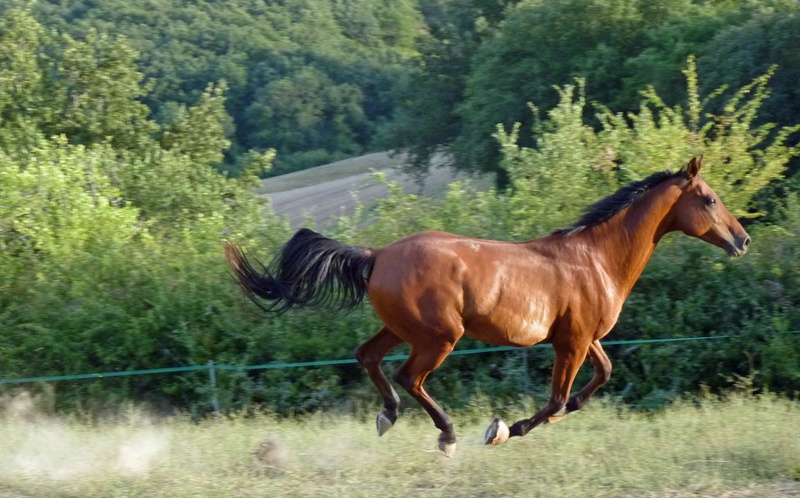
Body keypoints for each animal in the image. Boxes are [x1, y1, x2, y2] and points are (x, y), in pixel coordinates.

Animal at [224, 157, 750, 457]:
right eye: (709, 199)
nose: (742, 240)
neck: (596, 259)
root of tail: (376, 255)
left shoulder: (585, 339)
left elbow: (599, 378)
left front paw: (547, 419)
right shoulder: (572, 342)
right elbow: (557, 398)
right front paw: (503, 429)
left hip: (402, 329)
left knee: (368, 357)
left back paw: (388, 417)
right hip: (440, 337)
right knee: (408, 377)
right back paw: (447, 436)